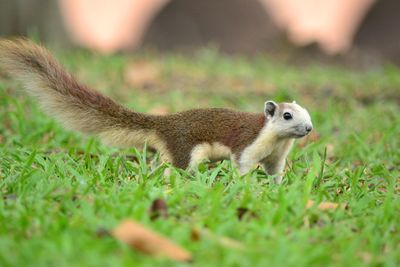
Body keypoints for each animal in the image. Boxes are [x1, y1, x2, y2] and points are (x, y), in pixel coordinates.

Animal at [0, 38, 312, 183]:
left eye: (309, 115)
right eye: (287, 115)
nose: (309, 129)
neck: (275, 141)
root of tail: (165, 124)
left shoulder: (276, 158)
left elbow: (275, 173)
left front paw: (278, 187)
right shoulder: (247, 146)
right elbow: (243, 166)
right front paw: (247, 188)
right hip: (185, 152)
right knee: (174, 168)